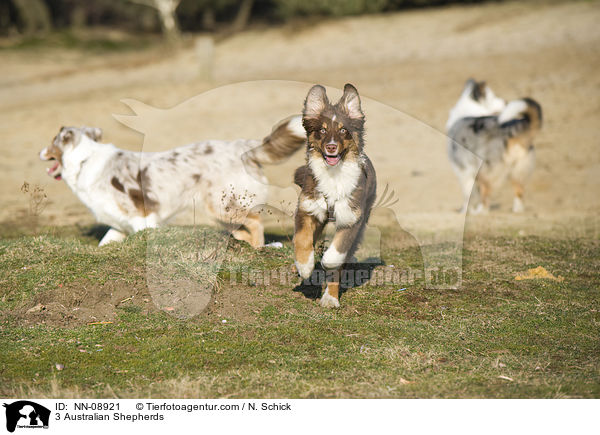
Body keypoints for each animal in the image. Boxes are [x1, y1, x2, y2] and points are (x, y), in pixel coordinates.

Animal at [38, 116, 304, 249]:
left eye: (51, 142)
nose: (39, 152)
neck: (84, 159)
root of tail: (244, 147)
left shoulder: (143, 216)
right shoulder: (119, 224)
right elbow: (104, 244)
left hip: (223, 205)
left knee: (256, 223)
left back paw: (258, 248)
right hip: (221, 212)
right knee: (242, 230)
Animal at [292, 85, 376, 308]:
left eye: (343, 130)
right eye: (322, 130)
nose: (331, 147)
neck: (334, 175)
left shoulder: (351, 219)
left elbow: (335, 256)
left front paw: (326, 264)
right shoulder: (307, 208)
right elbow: (301, 239)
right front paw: (305, 266)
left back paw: (330, 298)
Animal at [446, 80, 544, 215]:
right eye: (493, 97)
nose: (506, 102)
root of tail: (511, 130)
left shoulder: (464, 171)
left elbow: (468, 195)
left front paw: (465, 211)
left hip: (485, 169)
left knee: (486, 194)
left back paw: (481, 212)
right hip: (518, 171)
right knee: (519, 192)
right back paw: (517, 211)